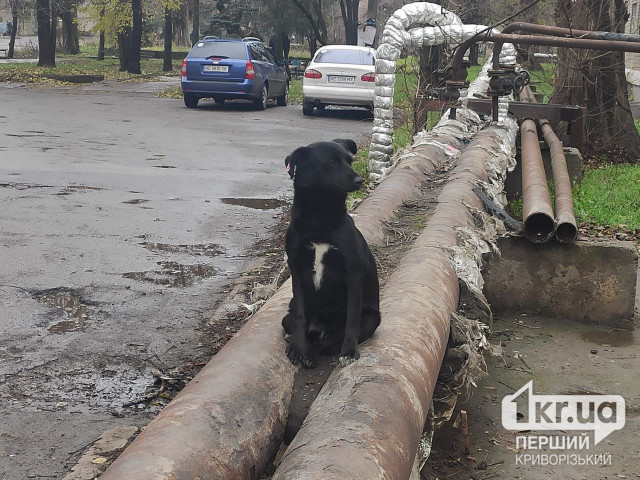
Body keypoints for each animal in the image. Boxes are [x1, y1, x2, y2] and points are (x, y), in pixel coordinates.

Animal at [282, 138, 380, 368]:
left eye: (350, 161)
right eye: (331, 162)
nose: (359, 180)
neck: (320, 221)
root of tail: (321, 328)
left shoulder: (353, 274)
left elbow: (351, 319)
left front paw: (349, 351)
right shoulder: (297, 270)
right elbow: (300, 316)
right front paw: (298, 347)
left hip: (371, 320)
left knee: (329, 340)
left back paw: (314, 351)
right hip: (288, 312)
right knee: (297, 325)